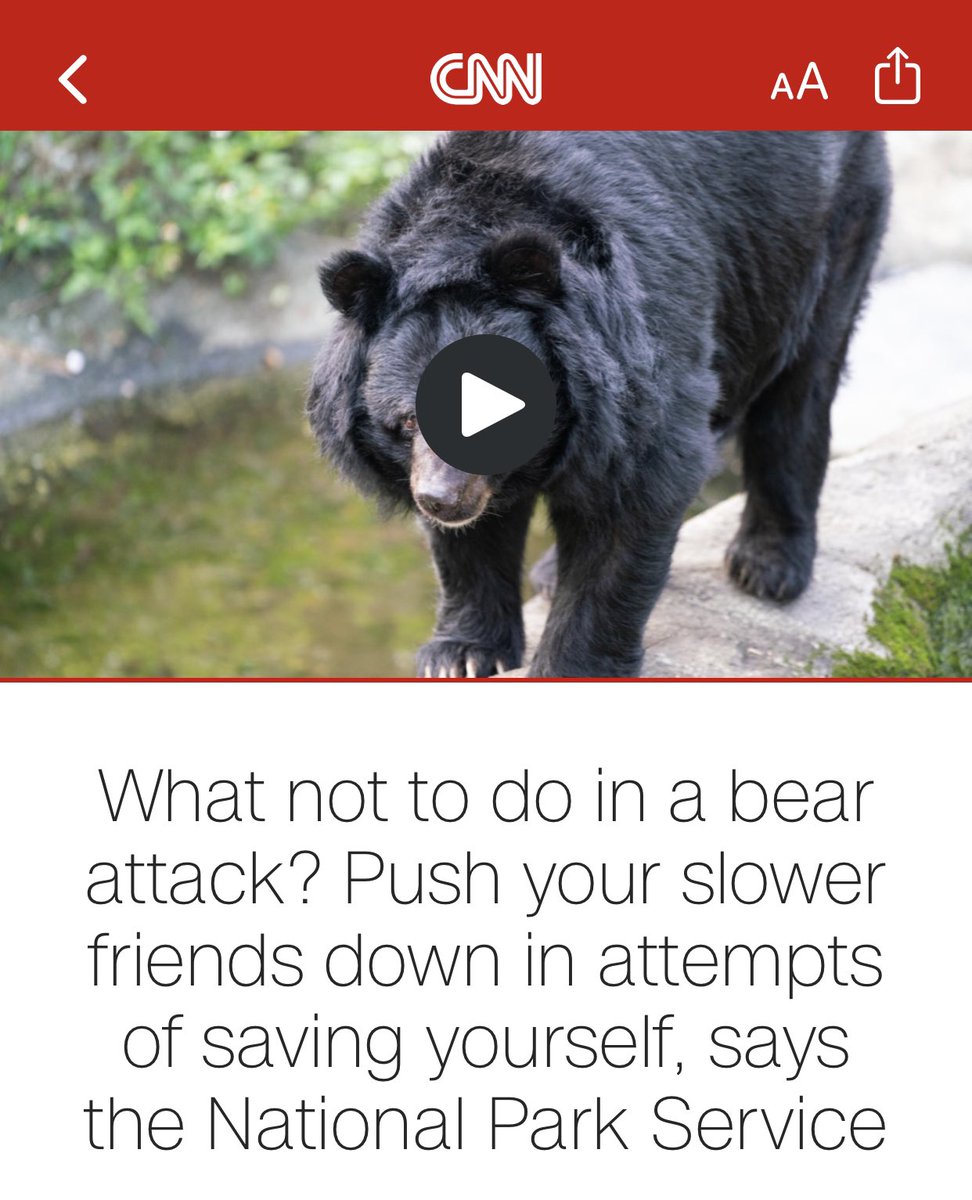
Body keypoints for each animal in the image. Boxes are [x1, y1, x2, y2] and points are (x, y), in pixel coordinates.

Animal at [308, 131, 890, 677]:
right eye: (409, 420)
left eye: (493, 412)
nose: (441, 500)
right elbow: (471, 544)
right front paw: (462, 656)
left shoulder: (638, 348)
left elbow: (632, 499)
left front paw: (570, 666)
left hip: (822, 230)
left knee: (799, 389)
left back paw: (768, 566)